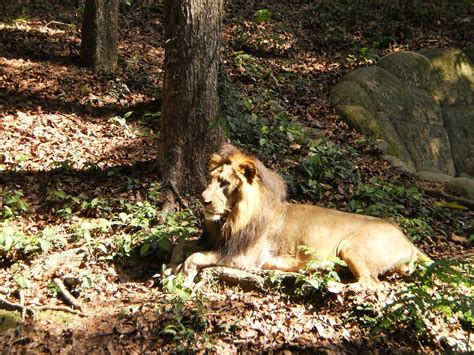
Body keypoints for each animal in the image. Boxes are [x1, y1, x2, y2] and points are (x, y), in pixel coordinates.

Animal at [167, 144, 430, 286]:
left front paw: (182, 275)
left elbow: (195, 257)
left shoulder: (244, 258)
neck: (229, 219)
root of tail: (408, 240)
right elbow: (180, 245)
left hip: (351, 248)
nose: (203, 199)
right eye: (211, 179)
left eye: (224, 183)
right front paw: (170, 267)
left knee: (371, 285)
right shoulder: (215, 241)